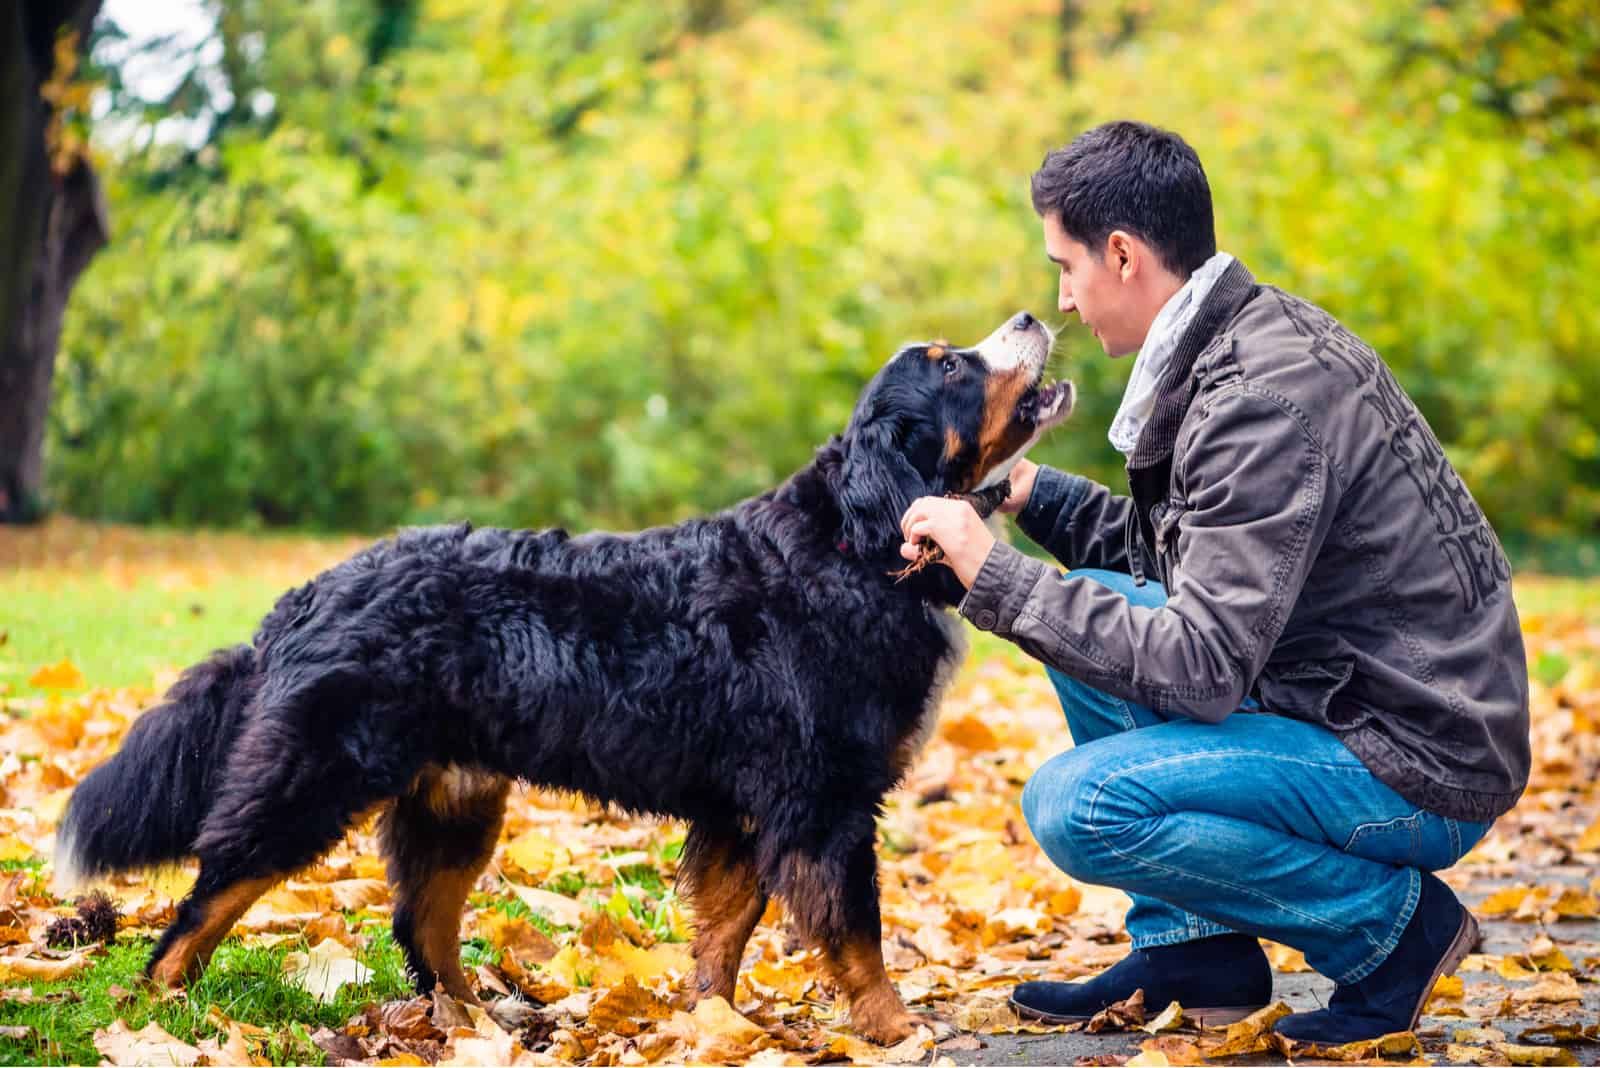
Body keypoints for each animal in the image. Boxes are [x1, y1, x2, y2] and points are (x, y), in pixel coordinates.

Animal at [56, 308, 1068, 1042]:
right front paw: (897, 1028)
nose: (1030, 313)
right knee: (205, 901)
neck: (857, 546)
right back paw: (161, 1013)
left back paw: (477, 1022)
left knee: (421, 927)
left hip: (456, 803)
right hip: (313, 783)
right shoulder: (823, 800)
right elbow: (857, 933)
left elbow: (725, 932)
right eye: (949, 366)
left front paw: (712, 1026)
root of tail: (309, 594)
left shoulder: (746, 805)